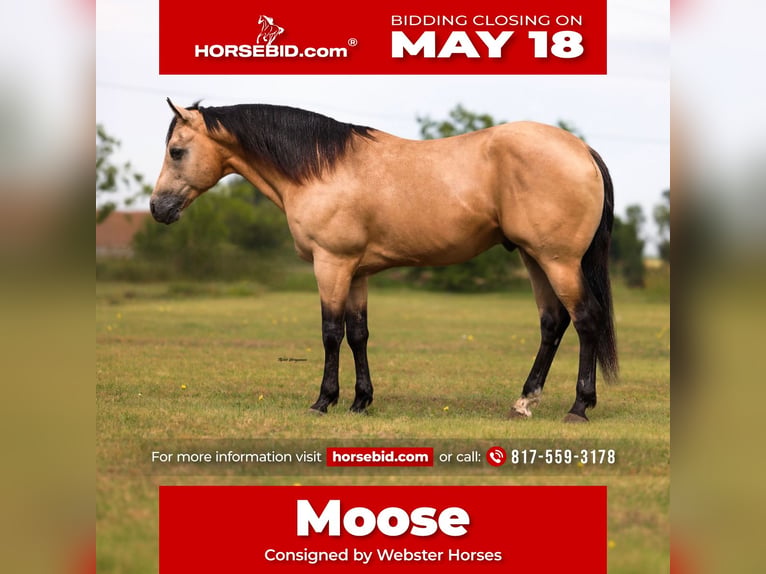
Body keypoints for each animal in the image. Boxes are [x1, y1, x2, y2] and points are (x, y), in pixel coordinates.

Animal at [151, 99, 618, 422]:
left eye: (175, 151)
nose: (157, 208)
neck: (322, 169)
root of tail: (582, 149)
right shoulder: (356, 271)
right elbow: (358, 334)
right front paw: (360, 401)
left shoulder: (331, 264)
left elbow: (331, 333)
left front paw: (323, 401)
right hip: (534, 258)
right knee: (553, 323)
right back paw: (524, 401)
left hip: (558, 261)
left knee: (586, 319)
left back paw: (579, 406)